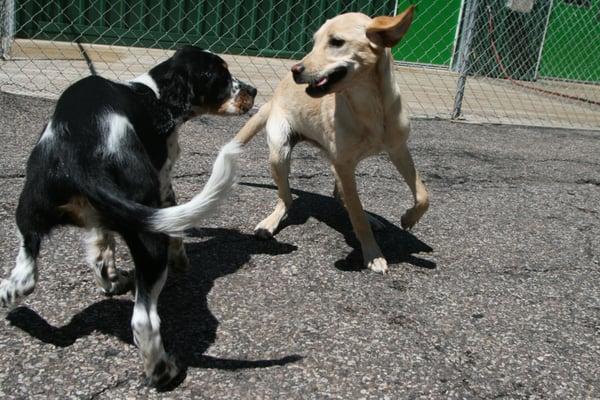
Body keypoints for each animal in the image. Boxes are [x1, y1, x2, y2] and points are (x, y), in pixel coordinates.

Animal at [0, 46, 255, 388]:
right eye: (220, 75)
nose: (254, 92)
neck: (154, 94)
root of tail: (80, 155)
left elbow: (100, 248)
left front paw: (110, 280)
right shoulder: (163, 182)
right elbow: (174, 232)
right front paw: (180, 261)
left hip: (28, 209)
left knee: (24, 278)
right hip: (149, 236)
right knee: (144, 320)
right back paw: (163, 372)